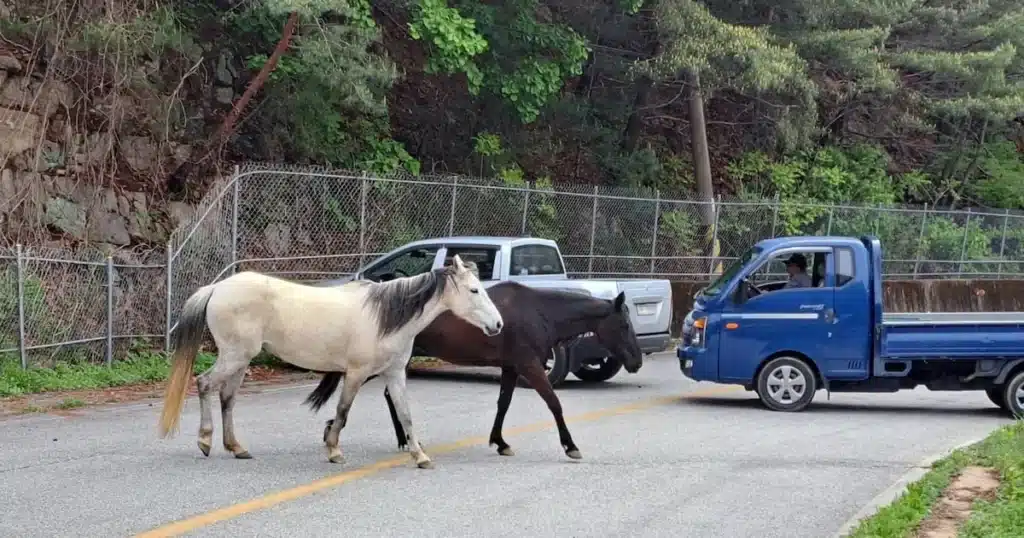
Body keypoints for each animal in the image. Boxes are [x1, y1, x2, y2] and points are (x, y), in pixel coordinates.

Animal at [156, 256, 503, 469]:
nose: (498, 325)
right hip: (234, 356)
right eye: (474, 290)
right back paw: (205, 441)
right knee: (204, 384)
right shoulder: (356, 374)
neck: (385, 317)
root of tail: (217, 288)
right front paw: (334, 450)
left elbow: (406, 416)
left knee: (227, 398)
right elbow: (342, 411)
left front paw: (420, 457)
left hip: (240, 360)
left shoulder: (394, 375)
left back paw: (236, 448)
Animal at [304, 281, 643, 461]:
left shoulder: (511, 367)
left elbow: (503, 404)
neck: (539, 313)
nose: (637, 361)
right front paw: (570, 446)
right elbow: (554, 403)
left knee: (388, 394)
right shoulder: (530, 366)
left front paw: (500, 441)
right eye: (624, 325)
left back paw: (403, 440)